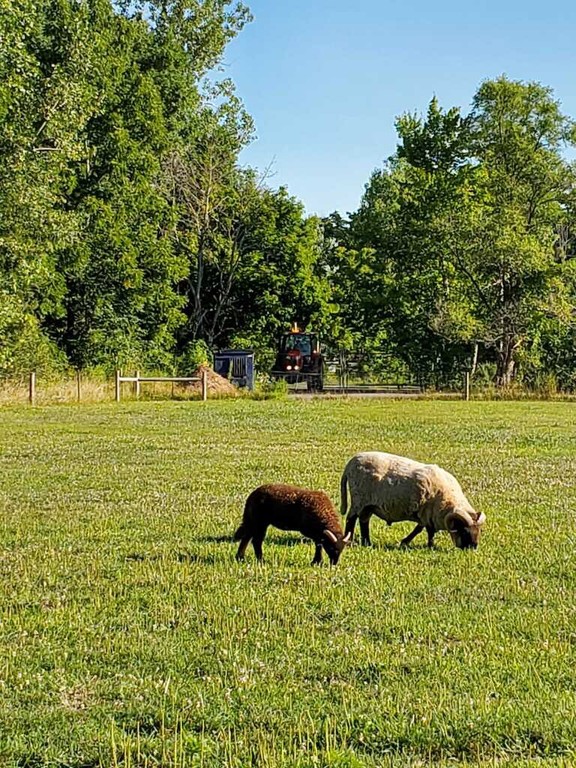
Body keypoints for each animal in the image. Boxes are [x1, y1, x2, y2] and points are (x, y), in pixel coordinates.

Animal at [340, 452, 484, 548]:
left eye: (479, 531)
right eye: (464, 531)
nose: (473, 548)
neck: (447, 500)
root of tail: (350, 464)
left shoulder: (426, 515)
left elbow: (420, 529)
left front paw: (407, 542)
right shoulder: (427, 513)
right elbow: (427, 531)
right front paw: (429, 546)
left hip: (368, 505)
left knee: (364, 521)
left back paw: (367, 543)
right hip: (358, 500)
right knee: (351, 519)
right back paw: (349, 541)